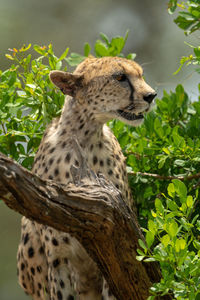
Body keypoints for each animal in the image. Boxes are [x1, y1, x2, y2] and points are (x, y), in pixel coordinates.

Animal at [16, 56, 156, 300]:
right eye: (120, 77)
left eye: (140, 74)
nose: (151, 95)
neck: (84, 138)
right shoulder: (59, 258)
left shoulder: (113, 252)